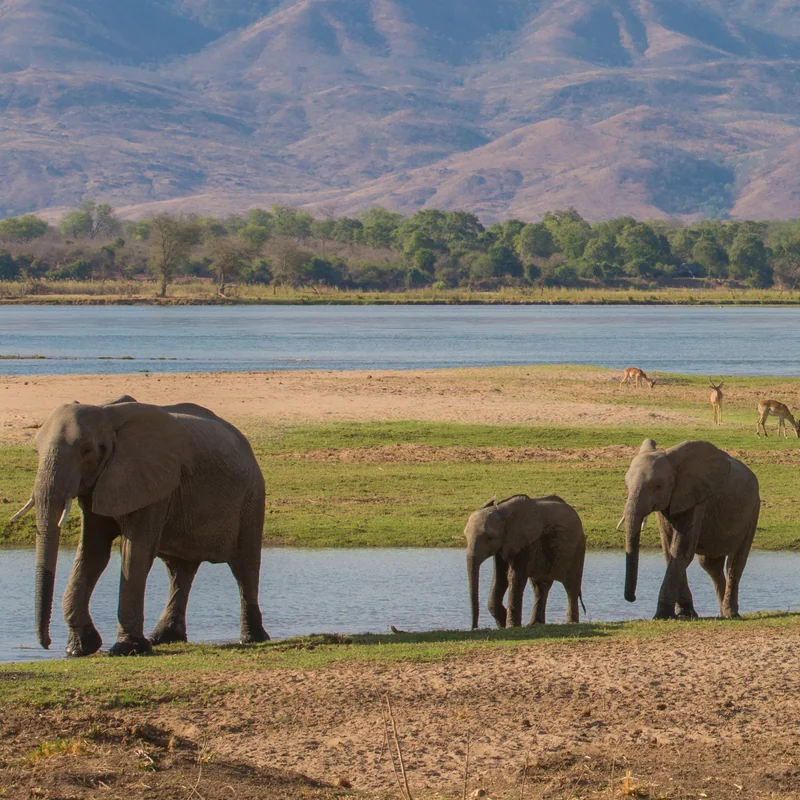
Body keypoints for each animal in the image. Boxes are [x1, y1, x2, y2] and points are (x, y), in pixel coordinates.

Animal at [10, 398, 268, 656]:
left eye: (88, 451)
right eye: (36, 451)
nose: (46, 644)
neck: (107, 414)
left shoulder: (153, 485)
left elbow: (134, 554)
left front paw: (127, 649)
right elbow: (93, 553)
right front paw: (79, 648)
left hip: (251, 497)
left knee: (244, 566)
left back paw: (252, 638)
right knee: (179, 571)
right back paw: (164, 638)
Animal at [462, 494, 588, 632]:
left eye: (490, 538)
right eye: (466, 537)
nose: (474, 628)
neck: (502, 511)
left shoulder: (526, 542)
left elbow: (515, 578)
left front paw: (510, 626)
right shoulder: (504, 545)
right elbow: (500, 579)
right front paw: (503, 621)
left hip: (578, 548)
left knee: (571, 587)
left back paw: (571, 623)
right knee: (539, 587)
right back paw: (535, 624)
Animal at [620, 438, 760, 620]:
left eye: (659, 486)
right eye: (626, 484)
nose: (632, 598)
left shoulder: (696, 499)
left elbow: (681, 551)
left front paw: (663, 616)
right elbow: (669, 549)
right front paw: (686, 614)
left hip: (753, 509)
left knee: (736, 562)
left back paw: (731, 613)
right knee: (710, 565)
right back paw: (723, 612)